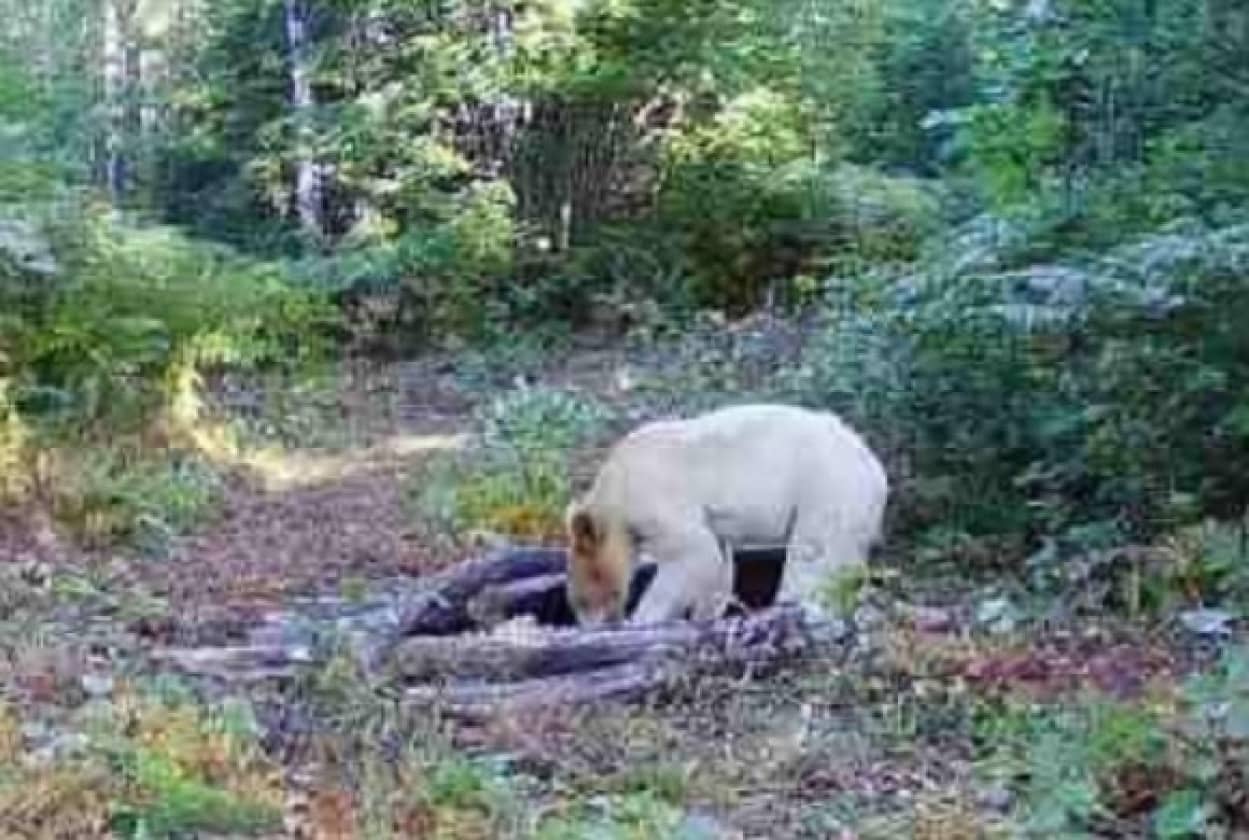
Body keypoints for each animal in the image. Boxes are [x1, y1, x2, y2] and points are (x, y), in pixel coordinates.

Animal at [567, 401, 889, 626]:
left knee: (811, 558)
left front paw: (642, 621)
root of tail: (874, 468)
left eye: (581, 599)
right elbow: (718, 563)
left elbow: (694, 553)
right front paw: (704, 616)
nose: (591, 626)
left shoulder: (653, 498)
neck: (615, 487)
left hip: (826, 488)